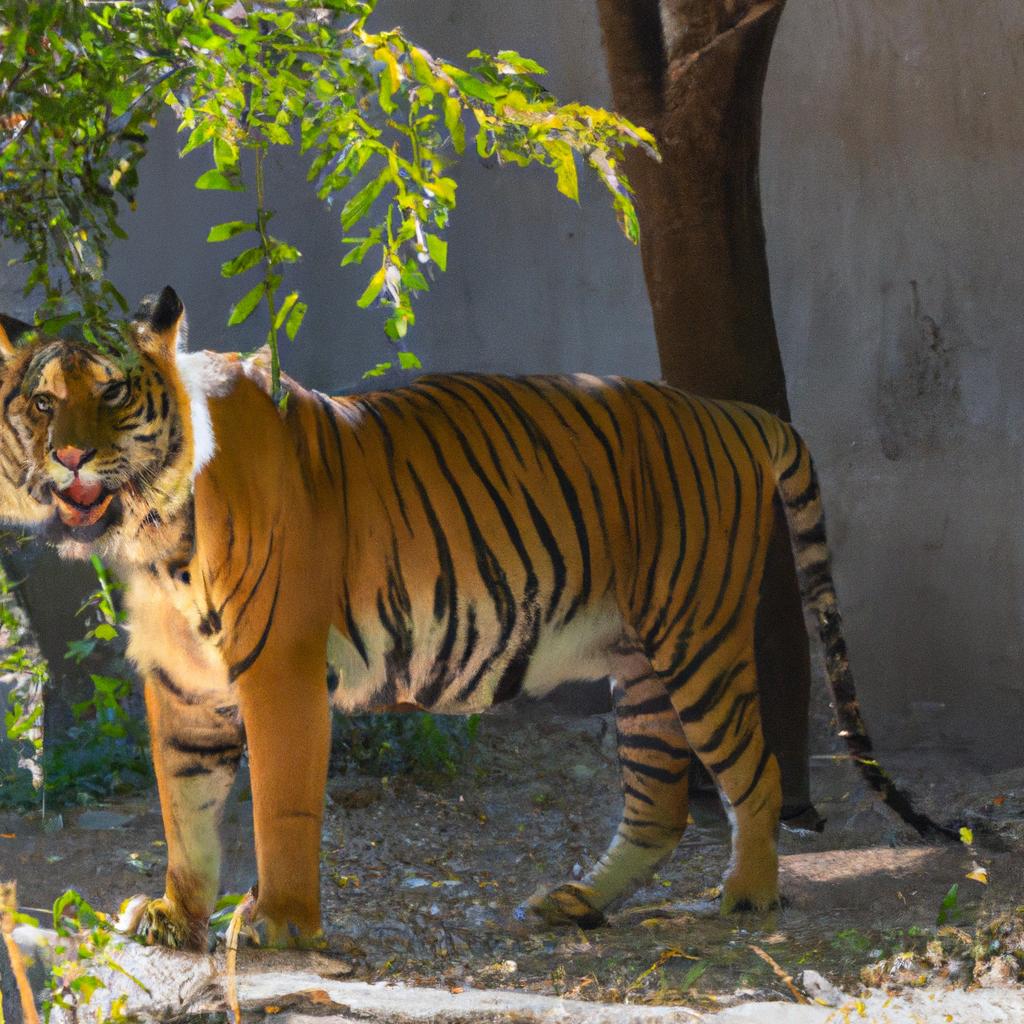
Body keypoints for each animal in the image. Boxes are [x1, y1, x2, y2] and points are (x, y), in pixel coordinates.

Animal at [0, 284, 946, 946]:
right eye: (42, 402)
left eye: (114, 393)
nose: (71, 454)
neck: (154, 534)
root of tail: (735, 413)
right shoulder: (183, 686)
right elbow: (185, 811)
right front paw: (176, 915)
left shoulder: (279, 672)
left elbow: (280, 806)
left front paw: (281, 924)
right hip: (639, 665)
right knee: (659, 804)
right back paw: (576, 902)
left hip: (697, 640)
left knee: (754, 769)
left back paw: (748, 895)